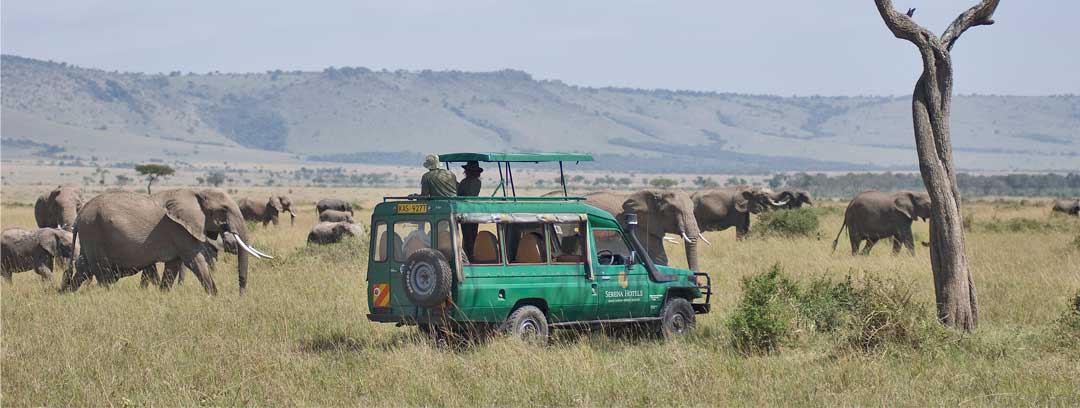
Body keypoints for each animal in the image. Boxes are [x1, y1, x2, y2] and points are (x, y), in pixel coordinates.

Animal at [61, 186, 274, 295]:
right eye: (223, 209)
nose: (241, 295)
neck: (195, 192)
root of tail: (79, 217)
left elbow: (173, 265)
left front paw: (163, 296)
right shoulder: (180, 229)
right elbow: (196, 260)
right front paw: (214, 296)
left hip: (90, 237)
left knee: (83, 269)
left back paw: (65, 294)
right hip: (95, 233)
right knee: (102, 274)